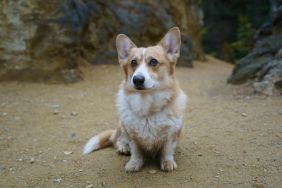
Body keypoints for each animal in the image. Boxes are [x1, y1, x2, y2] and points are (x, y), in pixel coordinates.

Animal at [83, 27, 187, 173]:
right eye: (133, 62)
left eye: (153, 61)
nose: (137, 79)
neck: (146, 107)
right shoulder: (132, 135)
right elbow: (136, 151)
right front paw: (134, 163)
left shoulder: (172, 134)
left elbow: (167, 150)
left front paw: (167, 162)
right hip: (121, 125)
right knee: (116, 139)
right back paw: (123, 147)